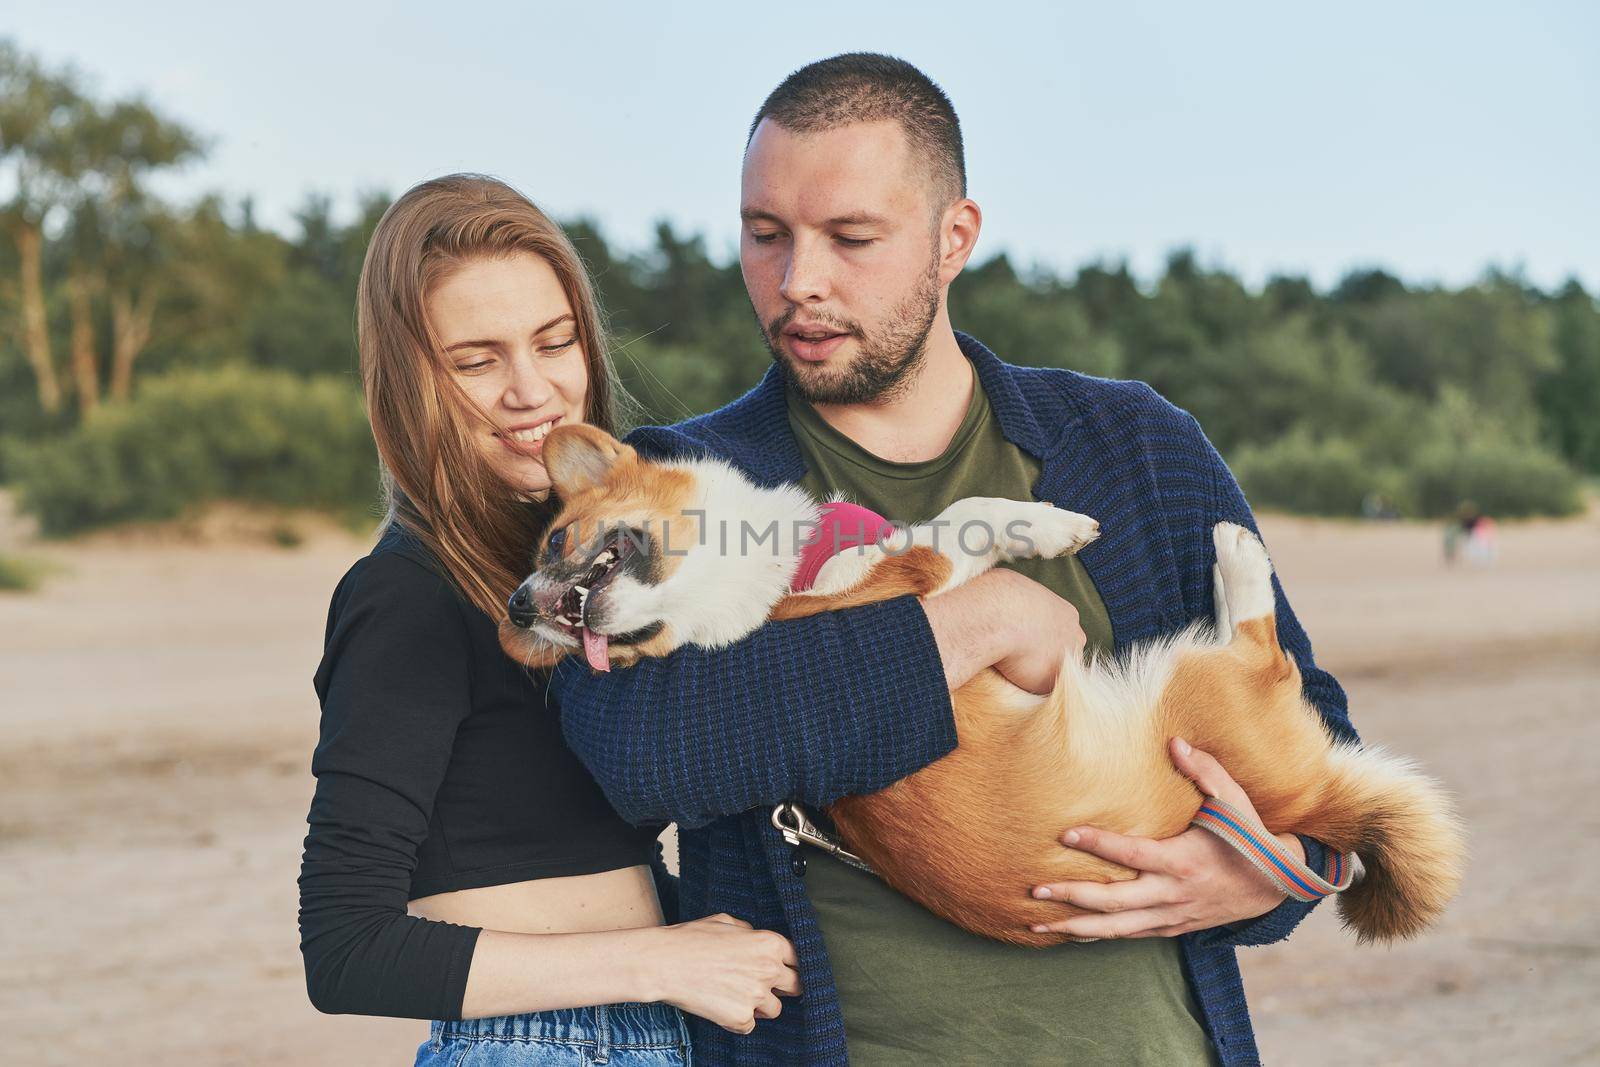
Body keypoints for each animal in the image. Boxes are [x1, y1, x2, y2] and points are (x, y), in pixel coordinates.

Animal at [496, 422, 1465, 947]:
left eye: (555, 541)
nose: (520, 606)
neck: (761, 584)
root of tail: (1307, 796)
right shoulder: (902, 587)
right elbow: (957, 519)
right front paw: (1044, 527)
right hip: (1193, 687)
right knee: (1264, 648)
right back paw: (1236, 554)